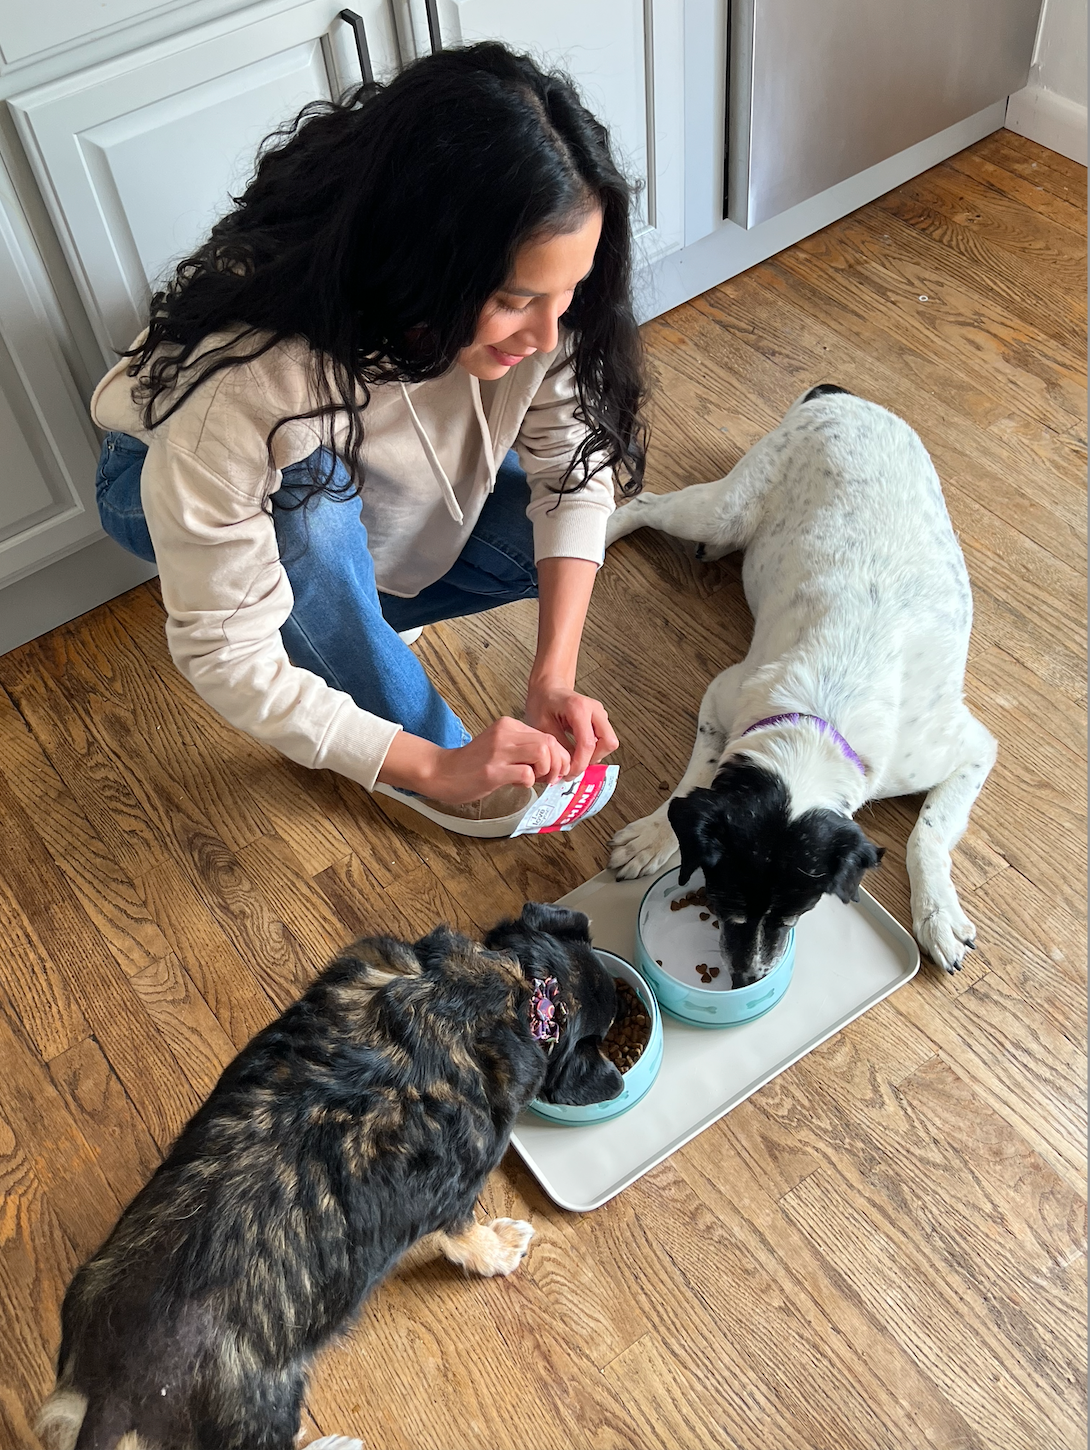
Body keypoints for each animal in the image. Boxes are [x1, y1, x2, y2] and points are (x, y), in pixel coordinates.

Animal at [38, 904, 620, 1450]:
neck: (513, 984)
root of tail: (113, 1395)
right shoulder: (457, 1191)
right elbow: (465, 1236)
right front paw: (498, 1249)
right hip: (268, 1409)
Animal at [605, 379, 997, 980]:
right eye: (723, 900)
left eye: (797, 913)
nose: (749, 976)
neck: (825, 711)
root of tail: (839, 396)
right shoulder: (721, 697)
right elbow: (696, 778)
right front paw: (654, 835)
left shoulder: (969, 750)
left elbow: (926, 835)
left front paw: (936, 913)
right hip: (722, 512)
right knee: (645, 504)